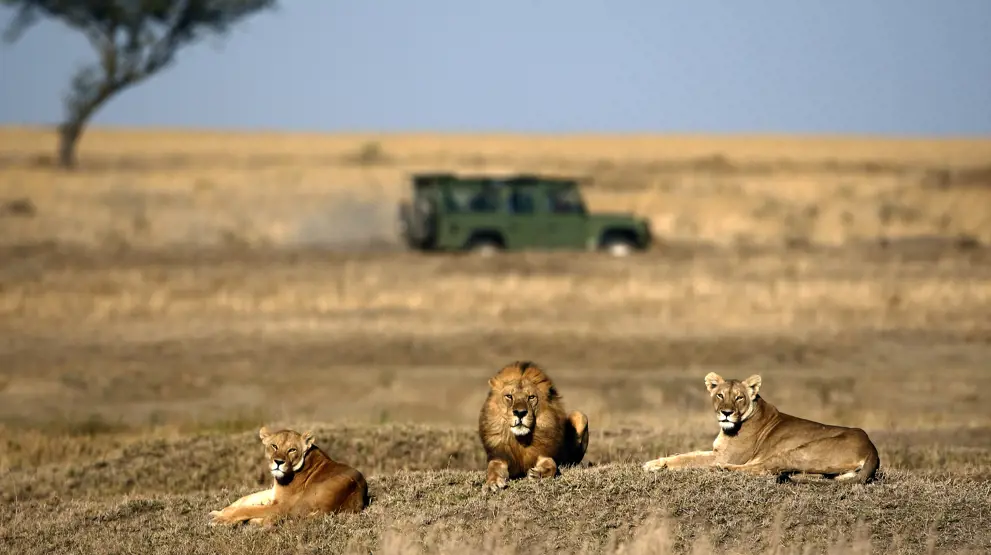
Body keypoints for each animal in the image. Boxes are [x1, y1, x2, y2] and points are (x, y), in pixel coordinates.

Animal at [209, 428, 368, 528]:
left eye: (292, 450)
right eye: (274, 446)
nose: (279, 462)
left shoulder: (282, 504)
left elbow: (247, 509)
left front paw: (220, 519)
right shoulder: (274, 493)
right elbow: (245, 498)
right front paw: (219, 512)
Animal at [478, 360, 588, 490]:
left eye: (531, 397)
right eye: (509, 396)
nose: (520, 413)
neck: (521, 440)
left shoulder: (544, 453)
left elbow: (552, 465)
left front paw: (537, 474)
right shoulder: (500, 456)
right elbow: (493, 468)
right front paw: (493, 482)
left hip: (581, 416)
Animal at [644, 374, 884, 486]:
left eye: (739, 397)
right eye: (720, 395)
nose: (726, 413)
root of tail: (872, 448)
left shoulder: (725, 456)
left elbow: (688, 460)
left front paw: (659, 466)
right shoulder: (716, 451)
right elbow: (685, 454)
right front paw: (655, 463)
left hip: (796, 451)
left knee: (766, 469)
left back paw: (721, 469)